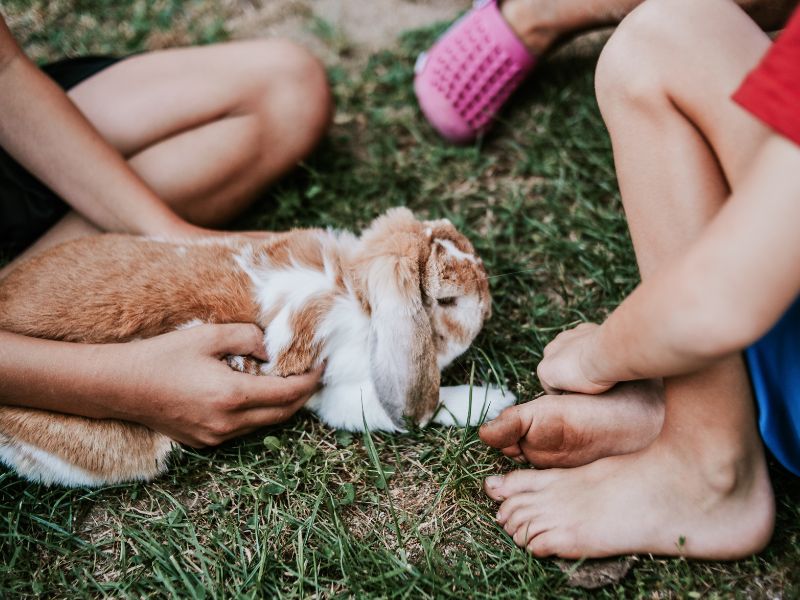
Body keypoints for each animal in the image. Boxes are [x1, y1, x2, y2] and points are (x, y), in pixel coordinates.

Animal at [0, 207, 512, 488]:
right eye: (446, 301)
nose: (489, 308)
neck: (355, 291)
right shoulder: (338, 392)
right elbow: (429, 405)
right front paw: (494, 401)